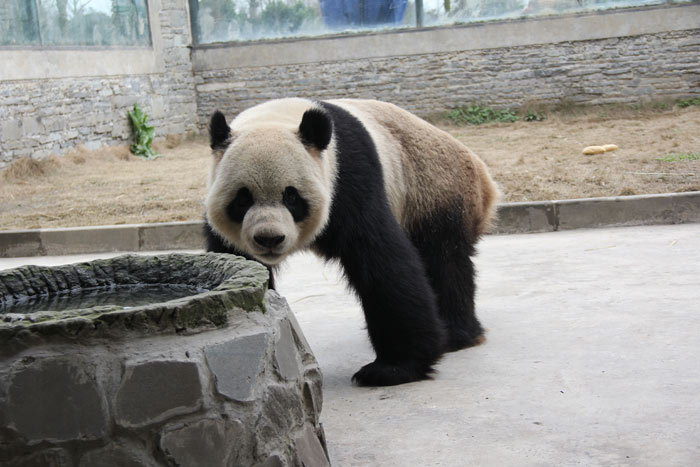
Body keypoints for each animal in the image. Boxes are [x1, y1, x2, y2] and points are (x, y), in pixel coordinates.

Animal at [205, 98, 498, 387]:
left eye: (291, 196)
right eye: (243, 199)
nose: (269, 238)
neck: (275, 117)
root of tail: (485, 178)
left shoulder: (349, 178)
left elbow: (382, 261)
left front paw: (393, 369)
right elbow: (235, 261)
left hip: (433, 191)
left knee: (445, 263)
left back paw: (456, 334)